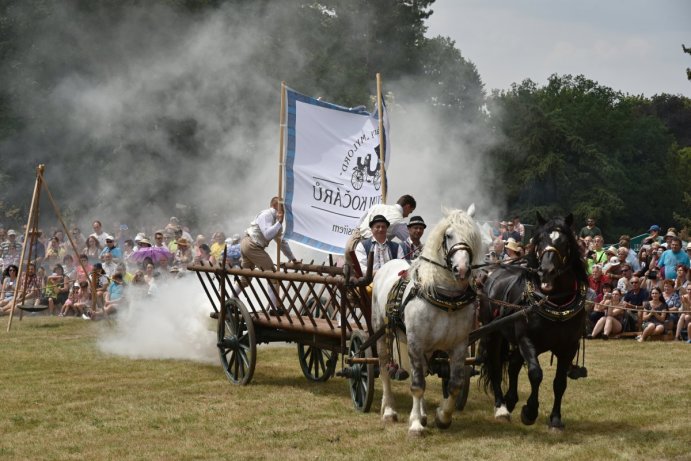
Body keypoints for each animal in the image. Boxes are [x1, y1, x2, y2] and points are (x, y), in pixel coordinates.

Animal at [374, 205, 482, 434]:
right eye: (448, 235)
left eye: (472, 236)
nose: (462, 269)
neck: (447, 299)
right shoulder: (415, 342)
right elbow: (417, 385)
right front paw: (415, 424)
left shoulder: (459, 345)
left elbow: (455, 384)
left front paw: (442, 417)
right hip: (381, 332)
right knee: (384, 367)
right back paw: (389, 410)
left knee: (422, 370)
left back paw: (422, 413)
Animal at [482, 214, 588, 430]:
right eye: (539, 241)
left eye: (565, 243)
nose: (546, 270)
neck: (556, 302)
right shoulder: (527, 340)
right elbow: (535, 374)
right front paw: (529, 411)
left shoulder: (568, 347)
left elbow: (559, 382)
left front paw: (555, 419)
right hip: (492, 335)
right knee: (496, 367)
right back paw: (501, 407)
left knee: (513, 365)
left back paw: (511, 400)